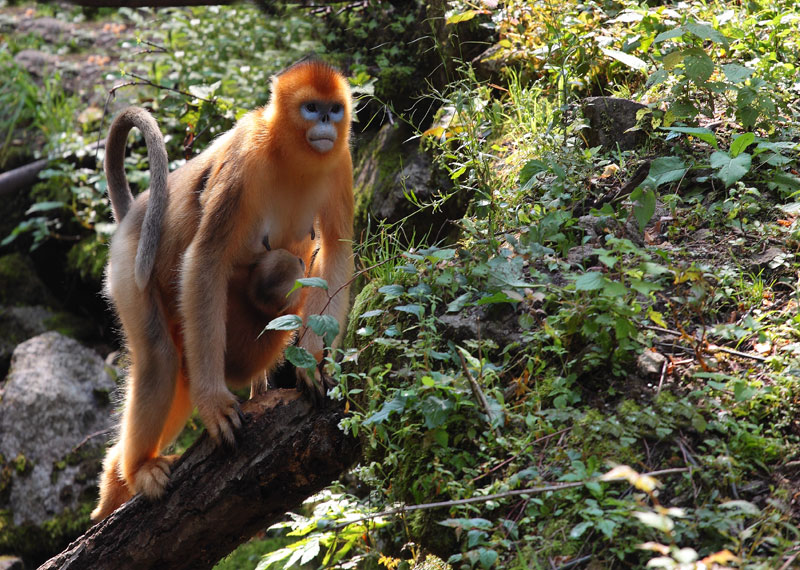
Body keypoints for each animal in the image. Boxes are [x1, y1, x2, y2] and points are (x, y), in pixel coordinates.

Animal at [93, 58, 354, 520]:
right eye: (311, 108)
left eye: (334, 109)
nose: (325, 122)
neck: (291, 157)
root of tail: (133, 214)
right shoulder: (243, 159)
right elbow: (205, 260)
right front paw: (215, 404)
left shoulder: (341, 162)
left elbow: (336, 255)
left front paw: (312, 362)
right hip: (127, 265)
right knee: (161, 358)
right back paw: (136, 471)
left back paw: (117, 480)